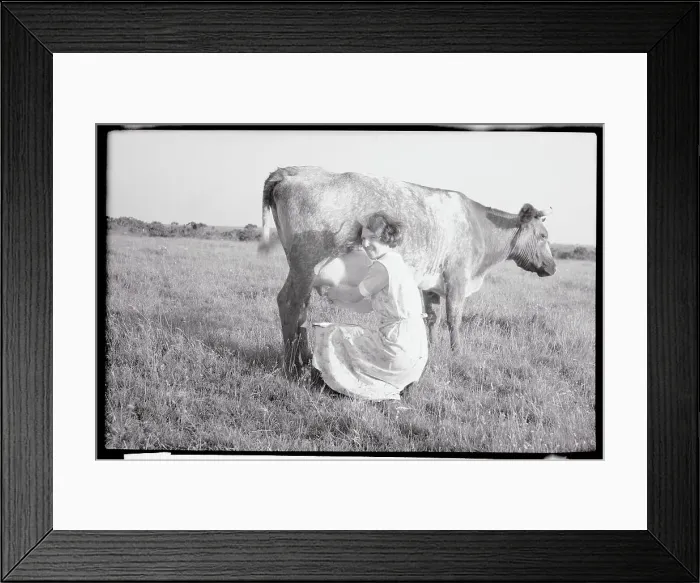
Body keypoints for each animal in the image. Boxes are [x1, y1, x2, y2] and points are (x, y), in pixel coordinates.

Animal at [258, 166, 556, 374]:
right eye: (543, 235)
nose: (553, 266)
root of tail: (292, 170)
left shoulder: (430, 284)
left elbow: (432, 318)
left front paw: (432, 350)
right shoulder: (457, 278)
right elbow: (454, 319)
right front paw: (457, 354)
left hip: (303, 268)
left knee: (301, 308)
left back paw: (305, 359)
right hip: (306, 262)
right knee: (289, 302)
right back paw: (292, 368)